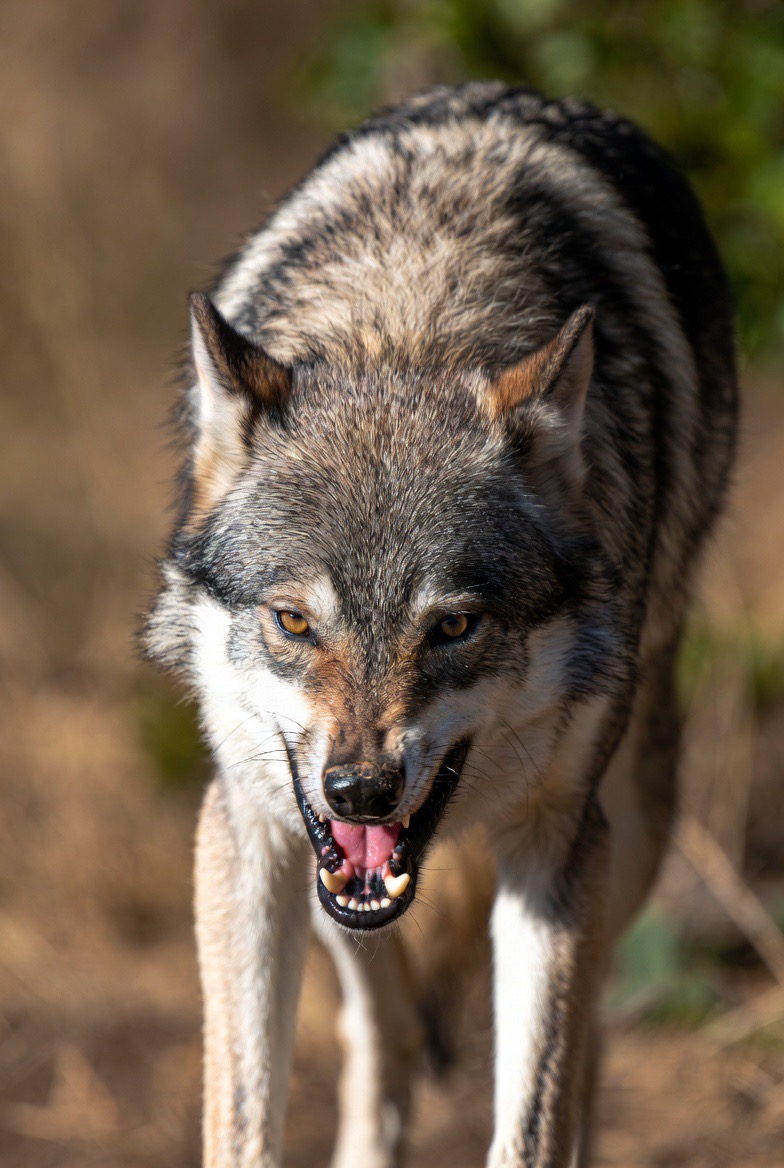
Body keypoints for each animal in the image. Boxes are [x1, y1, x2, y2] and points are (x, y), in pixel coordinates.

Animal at [143, 83, 738, 1167]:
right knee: (384, 1030)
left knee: (585, 1038)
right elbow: (244, 1114)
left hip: (629, 825)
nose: (364, 789)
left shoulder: (556, 847)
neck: (408, 329)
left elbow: (532, 1115)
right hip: (327, 873)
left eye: (455, 625)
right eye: (292, 619)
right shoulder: (252, 827)